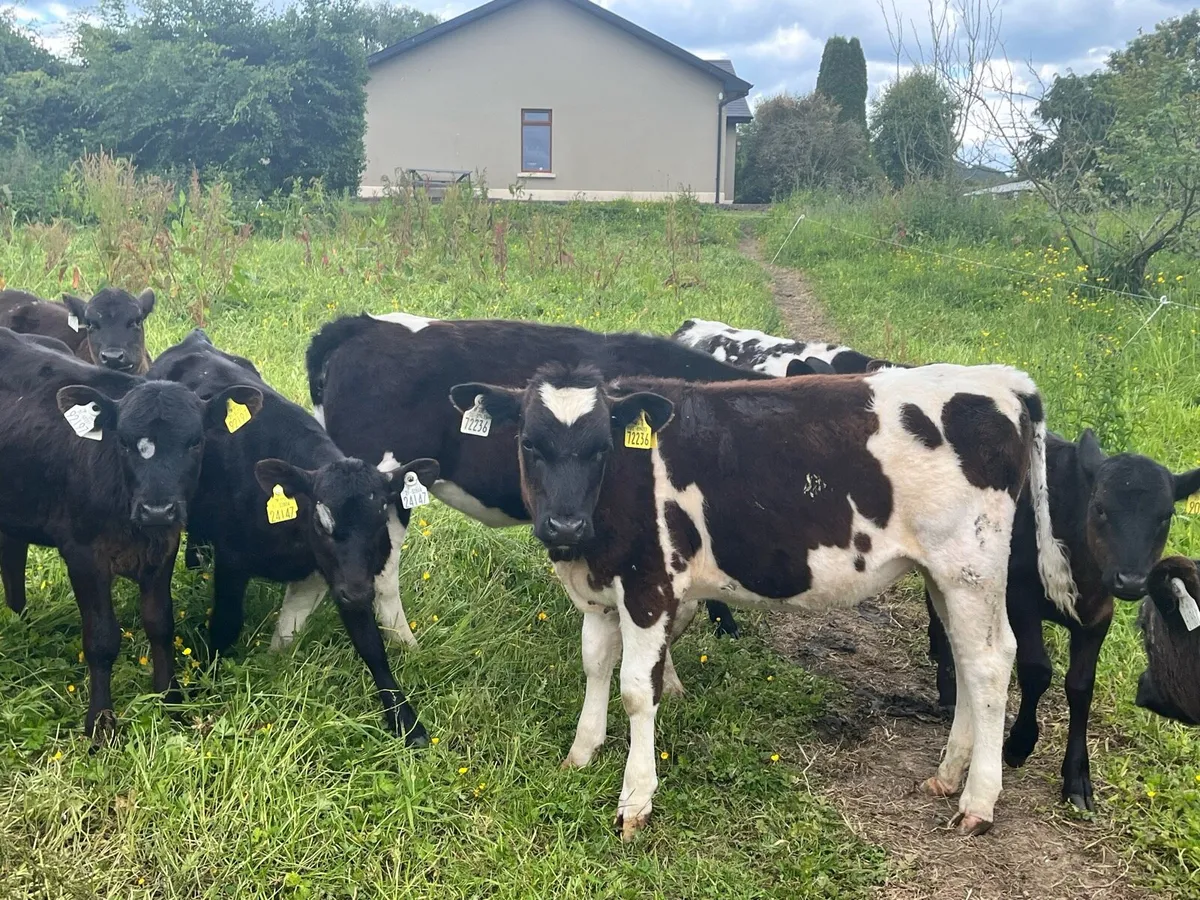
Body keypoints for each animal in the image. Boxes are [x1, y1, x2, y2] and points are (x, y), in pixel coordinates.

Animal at [0, 327, 262, 744]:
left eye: (196, 441)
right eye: (122, 441)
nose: (157, 508)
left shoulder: (165, 545)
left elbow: (160, 624)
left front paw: (170, 698)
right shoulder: (83, 553)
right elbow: (102, 639)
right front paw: (100, 722)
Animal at [146, 329, 437, 744]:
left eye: (381, 518)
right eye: (322, 520)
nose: (359, 592)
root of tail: (196, 340)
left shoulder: (343, 574)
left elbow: (371, 645)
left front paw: (405, 719)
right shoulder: (233, 560)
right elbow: (225, 624)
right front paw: (204, 685)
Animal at [450, 361, 1077, 839]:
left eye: (602, 446)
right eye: (528, 443)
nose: (564, 525)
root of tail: (1001, 379)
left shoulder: (651, 588)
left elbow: (636, 691)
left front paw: (635, 800)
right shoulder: (602, 591)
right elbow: (595, 666)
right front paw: (581, 754)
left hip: (970, 567)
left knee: (990, 663)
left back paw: (978, 802)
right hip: (943, 576)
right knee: (968, 661)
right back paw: (949, 774)